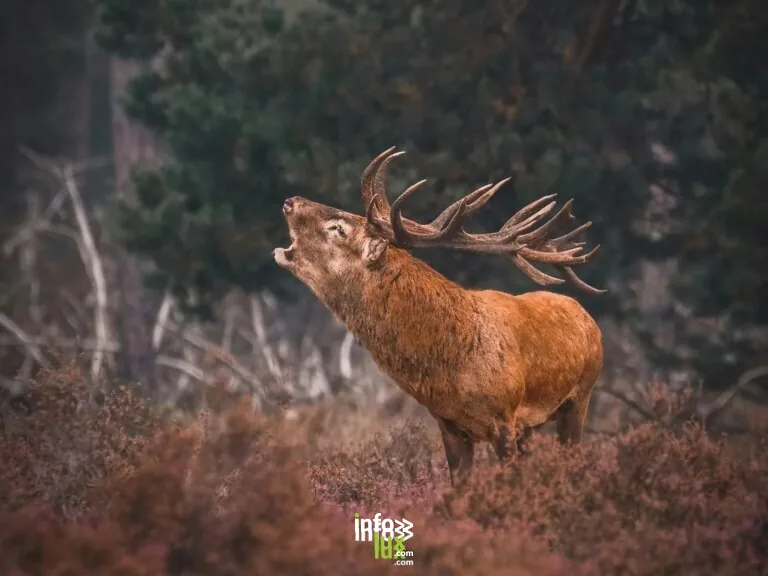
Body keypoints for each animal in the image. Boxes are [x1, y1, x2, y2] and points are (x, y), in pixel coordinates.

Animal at [273, 147, 605, 487]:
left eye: (339, 229)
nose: (290, 201)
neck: (455, 368)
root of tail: (585, 314)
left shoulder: (505, 418)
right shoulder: (449, 425)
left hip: (581, 395)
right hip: (534, 425)